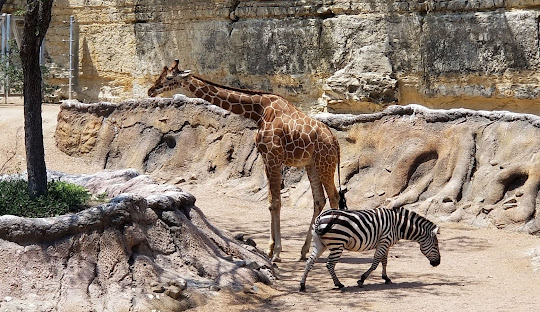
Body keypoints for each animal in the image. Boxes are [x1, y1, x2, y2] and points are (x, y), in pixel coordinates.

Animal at [148, 59, 342, 262]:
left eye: (169, 78)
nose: (151, 90)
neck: (258, 111)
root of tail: (335, 143)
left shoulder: (273, 156)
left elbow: (276, 202)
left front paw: (276, 253)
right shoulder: (266, 158)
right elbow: (271, 202)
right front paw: (269, 250)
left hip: (324, 163)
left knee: (334, 197)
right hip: (311, 164)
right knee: (319, 200)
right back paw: (304, 251)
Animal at [298, 206, 440, 292]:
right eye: (436, 245)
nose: (437, 263)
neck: (398, 226)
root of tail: (320, 217)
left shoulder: (385, 243)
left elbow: (384, 261)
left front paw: (386, 278)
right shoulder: (384, 241)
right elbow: (376, 262)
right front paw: (361, 279)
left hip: (319, 243)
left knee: (310, 261)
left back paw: (302, 285)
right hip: (338, 244)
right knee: (330, 264)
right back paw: (339, 284)